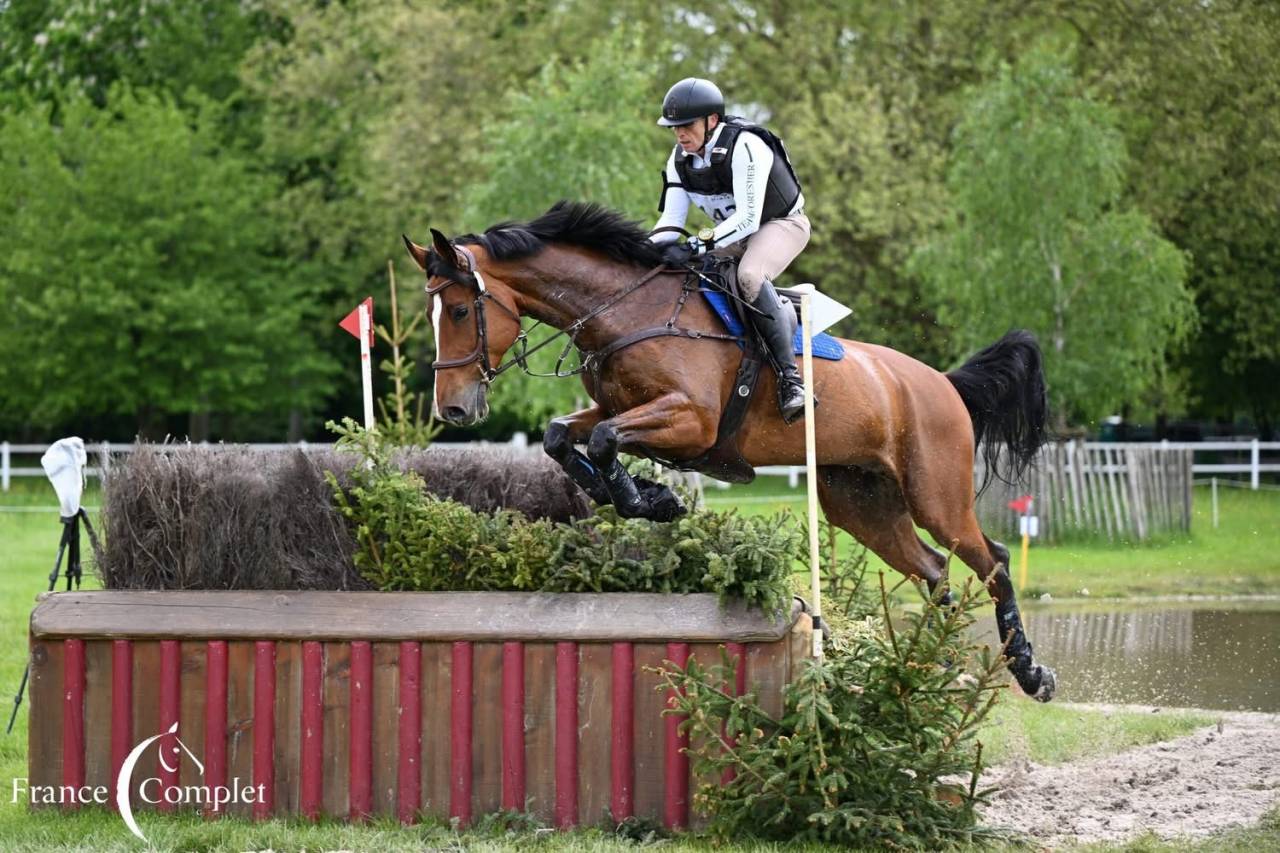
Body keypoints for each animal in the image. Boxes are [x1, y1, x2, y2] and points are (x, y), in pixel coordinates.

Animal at [404, 200, 1056, 701]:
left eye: (459, 309)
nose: (452, 411)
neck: (626, 310)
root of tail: (942, 382)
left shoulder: (691, 420)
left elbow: (607, 438)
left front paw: (651, 499)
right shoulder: (617, 407)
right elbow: (564, 435)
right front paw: (652, 498)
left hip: (934, 494)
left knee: (992, 560)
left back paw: (1029, 672)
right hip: (859, 500)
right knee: (934, 567)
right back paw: (928, 662)